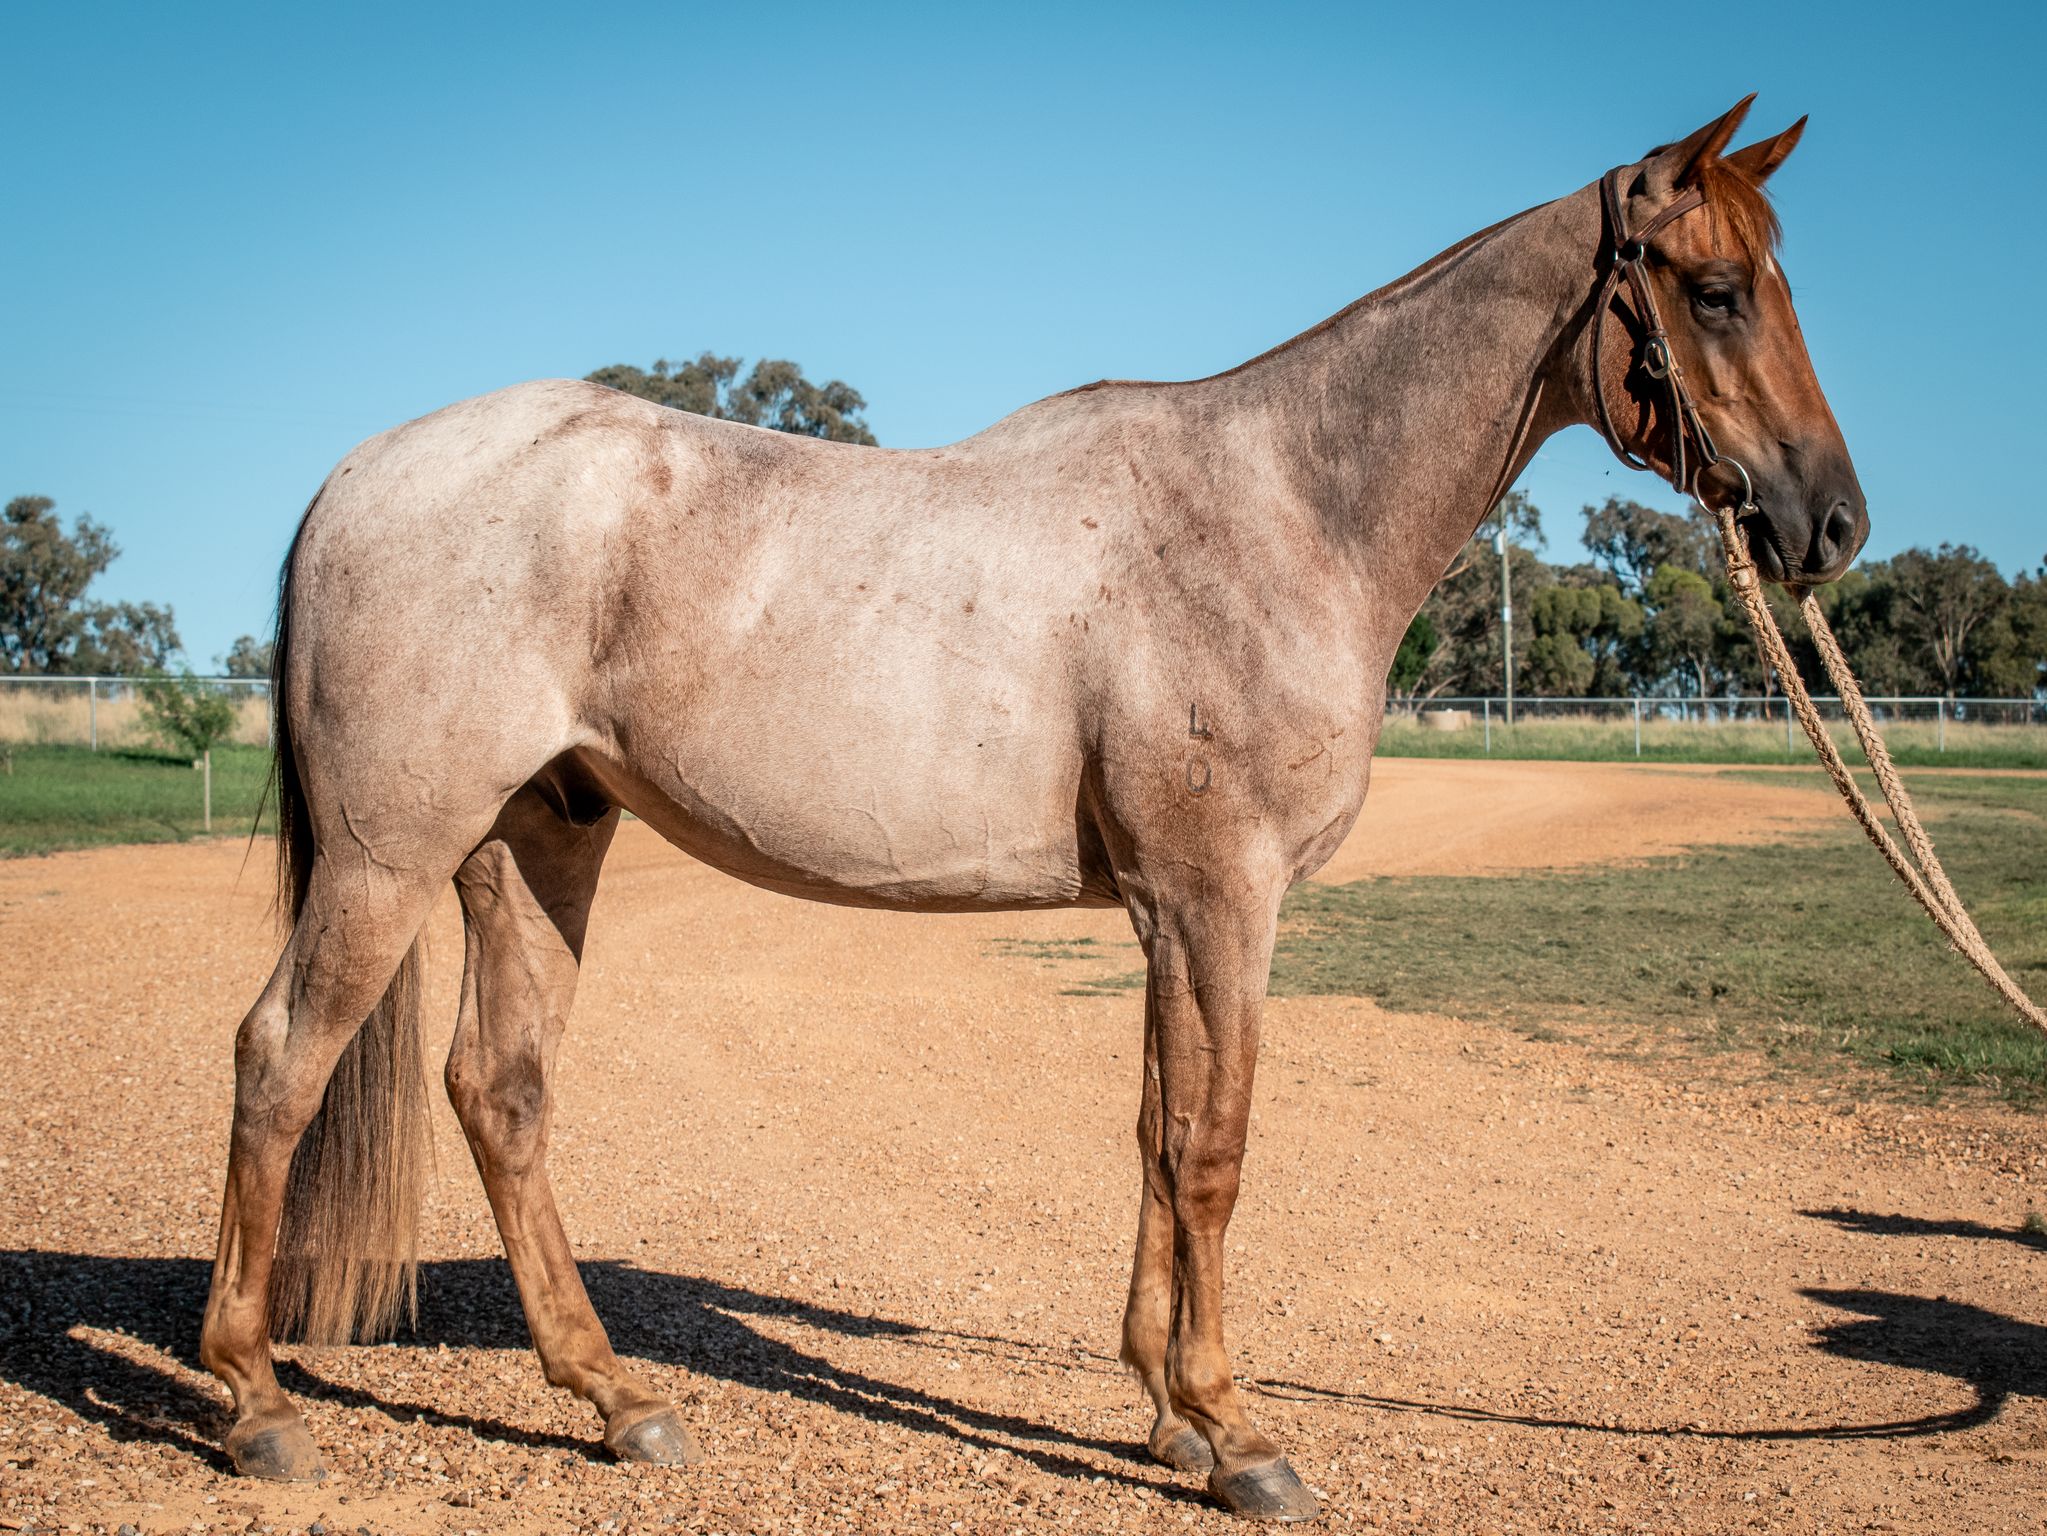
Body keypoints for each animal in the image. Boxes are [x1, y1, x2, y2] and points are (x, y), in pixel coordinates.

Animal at [199, 95, 1865, 1521]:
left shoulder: (1164, 911)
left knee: (500, 1090)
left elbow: (1153, 1132)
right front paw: (1236, 1435)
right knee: (279, 1060)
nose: (1827, 523)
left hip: (534, 840)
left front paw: (1167, 1412)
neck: (1284, 508)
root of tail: (358, 475)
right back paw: (257, 1404)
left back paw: (617, 1400)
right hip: (388, 859)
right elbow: (1211, 1146)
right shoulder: (1218, 897)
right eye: (1715, 289)